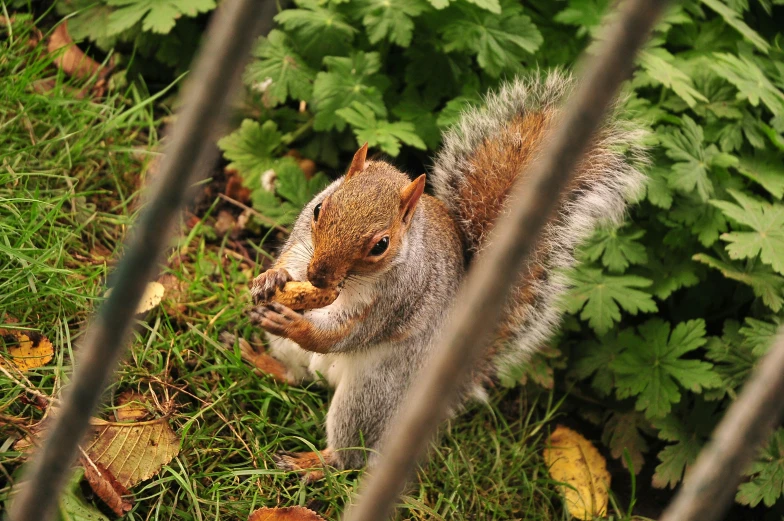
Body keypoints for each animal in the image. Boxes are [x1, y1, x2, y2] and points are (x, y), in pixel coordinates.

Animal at [245, 70, 648, 480]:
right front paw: (269, 279)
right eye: (319, 208)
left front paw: (299, 323)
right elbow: (291, 258)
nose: (319, 276)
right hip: (296, 356)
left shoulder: (397, 299)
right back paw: (264, 362)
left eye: (380, 245)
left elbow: (346, 333)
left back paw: (315, 462)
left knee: (352, 450)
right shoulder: (302, 244)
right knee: (297, 376)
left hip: (373, 392)